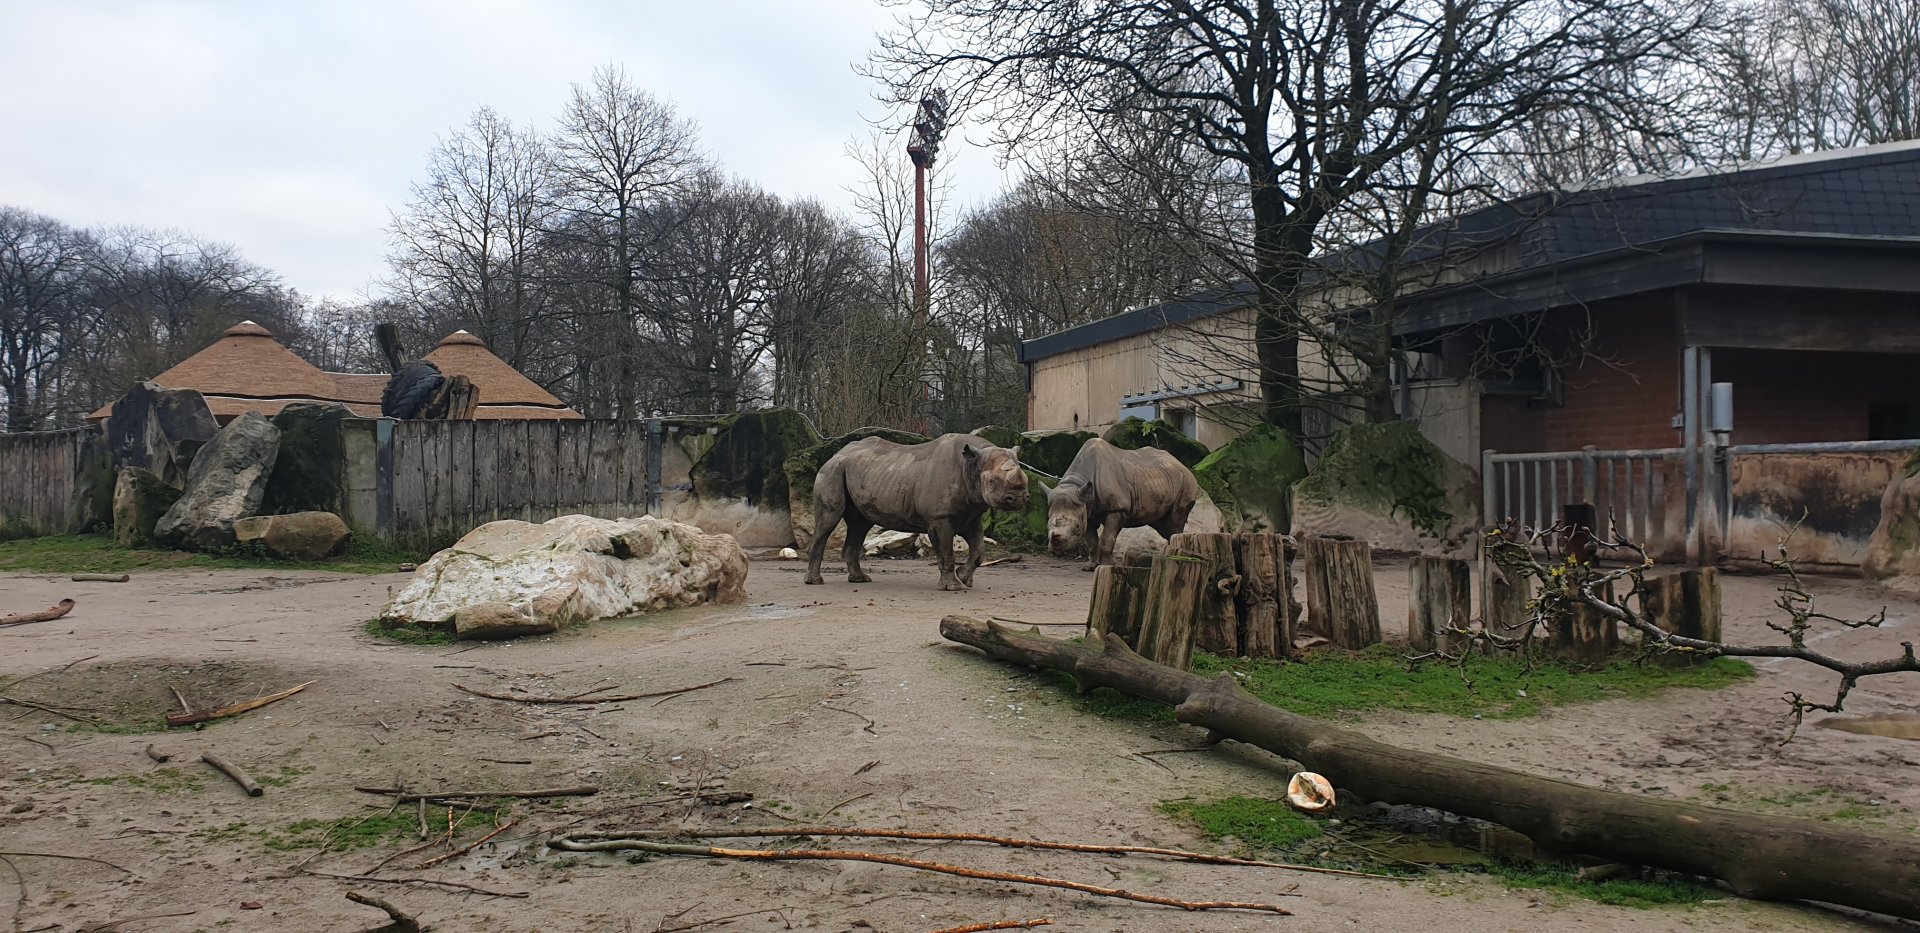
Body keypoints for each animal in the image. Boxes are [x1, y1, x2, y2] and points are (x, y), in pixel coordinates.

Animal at [805, 434, 1029, 591]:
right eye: (991, 482)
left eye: (1025, 479)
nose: (1019, 499)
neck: (972, 465)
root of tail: (835, 454)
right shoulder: (940, 517)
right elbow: (946, 553)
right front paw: (952, 586)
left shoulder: (971, 514)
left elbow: (979, 551)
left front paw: (965, 578)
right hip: (831, 472)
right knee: (829, 519)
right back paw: (815, 581)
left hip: (857, 471)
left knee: (860, 524)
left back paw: (860, 580)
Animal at [1046, 437, 1198, 569]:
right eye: (1047, 524)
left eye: (1077, 526)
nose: (1056, 547)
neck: (1077, 483)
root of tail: (1180, 463)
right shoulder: (1087, 512)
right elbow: (1092, 542)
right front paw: (1089, 567)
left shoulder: (1117, 509)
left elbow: (1107, 539)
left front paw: (1107, 565)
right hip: (1161, 477)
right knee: (1162, 524)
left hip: (1186, 481)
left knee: (1175, 520)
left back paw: (1173, 556)